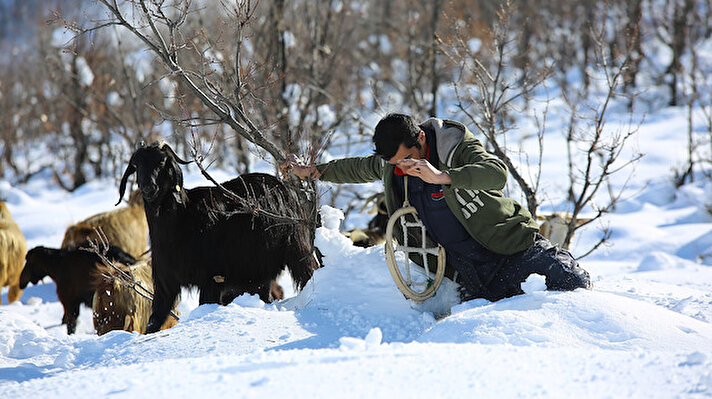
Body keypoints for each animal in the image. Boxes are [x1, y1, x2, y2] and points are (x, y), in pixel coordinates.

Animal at [118, 142, 318, 336]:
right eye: (136, 165)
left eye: (161, 162)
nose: (149, 188)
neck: (182, 218)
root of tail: (284, 187)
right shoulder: (165, 281)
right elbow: (155, 318)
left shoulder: (212, 278)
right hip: (258, 268)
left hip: (296, 249)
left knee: (306, 274)